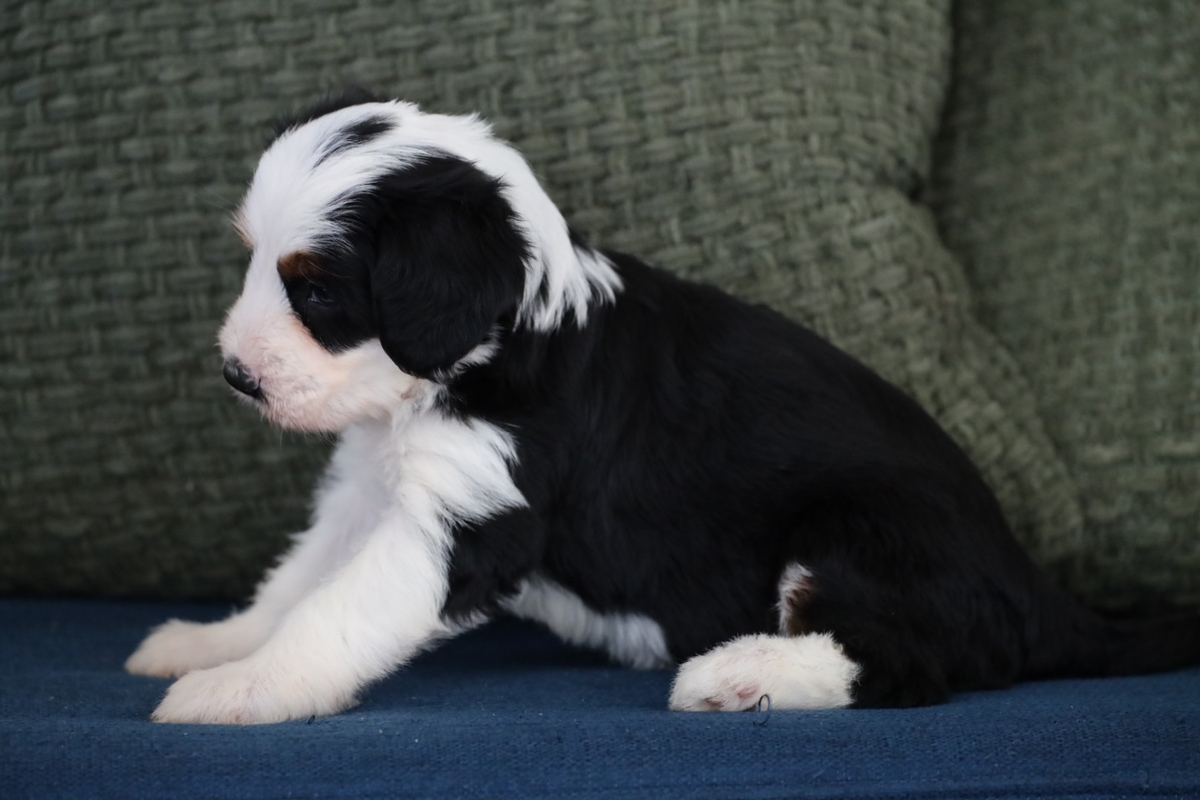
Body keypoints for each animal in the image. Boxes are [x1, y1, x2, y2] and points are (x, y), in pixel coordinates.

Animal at [126, 94, 1200, 724]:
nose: (236, 374)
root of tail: (1041, 590)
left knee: (904, 664)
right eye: (255, 262)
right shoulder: (368, 491)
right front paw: (212, 645)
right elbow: (294, 585)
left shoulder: (466, 517)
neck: (495, 345)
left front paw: (244, 689)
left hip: (859, 528)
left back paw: (741, 674)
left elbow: (334, 612)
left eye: (315, 293)